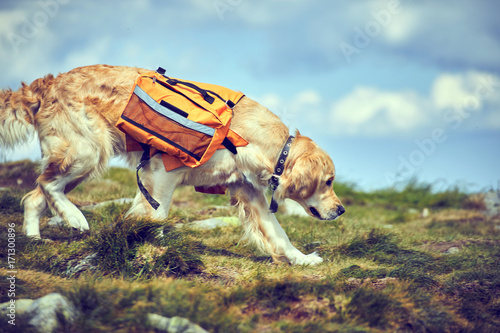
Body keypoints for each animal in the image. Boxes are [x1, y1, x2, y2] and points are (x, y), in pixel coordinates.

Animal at [0, 65, 344, 264]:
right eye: (328, 181)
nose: (340, 210)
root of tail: (48, 82)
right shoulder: (162, 171)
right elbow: (158, 213)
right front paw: (151, 242)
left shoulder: (250, 193)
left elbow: (279, 234)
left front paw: (302, 259)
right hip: (87, 151)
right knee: (46, 185)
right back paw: (74, 218)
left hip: (80, 161)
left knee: (34, 197)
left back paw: (34, 238)